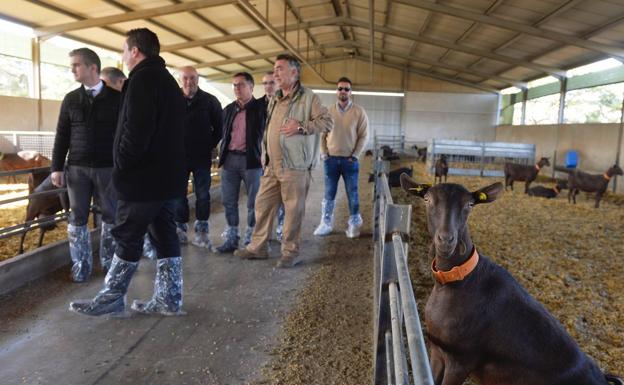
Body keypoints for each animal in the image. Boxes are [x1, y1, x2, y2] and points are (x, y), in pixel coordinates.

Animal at [400, 173, 624, 384]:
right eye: (427, 199)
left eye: (469, 204)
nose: (446, 240)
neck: (458, 279)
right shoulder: (437, 350)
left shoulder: (461, 359)